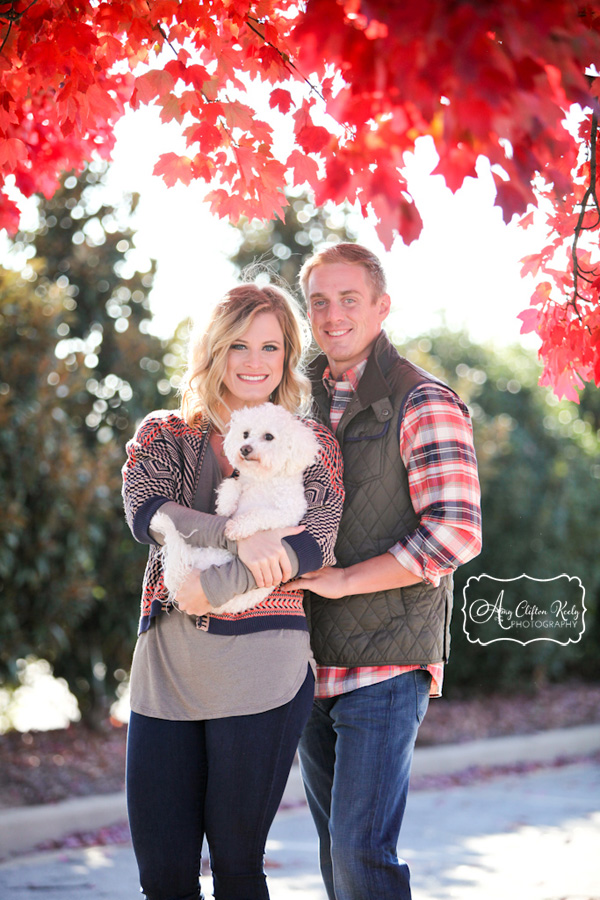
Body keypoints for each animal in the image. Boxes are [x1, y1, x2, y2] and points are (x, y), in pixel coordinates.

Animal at [151, 404, 318, 616]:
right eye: (245, 434)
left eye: (269, 436)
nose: (244, 448)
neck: (262, 480)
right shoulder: (243, 484)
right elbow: (233, 484)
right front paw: (225, 504)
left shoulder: (287, 513)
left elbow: (258, 514)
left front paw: (237, 528)